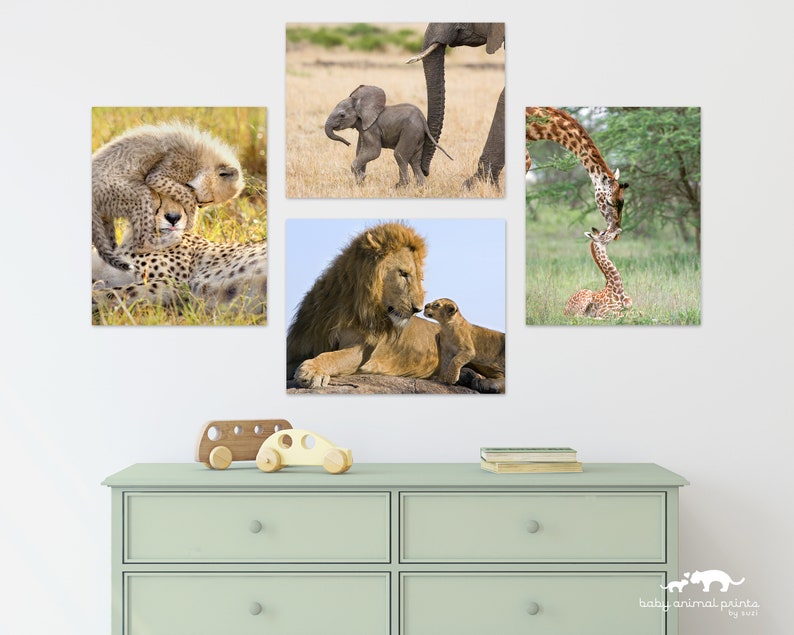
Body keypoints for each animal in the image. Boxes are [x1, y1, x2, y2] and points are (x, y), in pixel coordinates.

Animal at [287, 222, 441, 389]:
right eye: (403, 273)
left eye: (420, 278)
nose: (418, 309)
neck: (349, 302)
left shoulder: (361, 350)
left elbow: (332, 356)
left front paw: (312, 371)